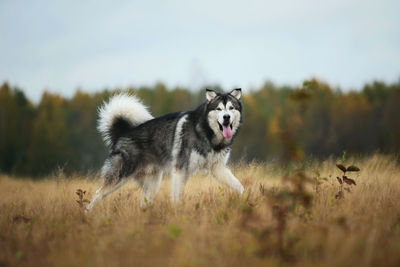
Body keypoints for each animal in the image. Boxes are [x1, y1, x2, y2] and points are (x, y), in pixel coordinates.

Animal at [85, 89, 244, 213]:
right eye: (219, 109)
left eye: (231, 108)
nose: (226, 117)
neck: (206, 132)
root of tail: (123, 133)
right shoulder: (180, 169)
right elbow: (176, 197)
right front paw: (177, 212)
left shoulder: (218, 168)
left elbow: (239, 187)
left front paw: (246, 199)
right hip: (119, 177)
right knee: (97, 194)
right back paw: (87, 214)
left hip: (152, 184)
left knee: (144, 203)